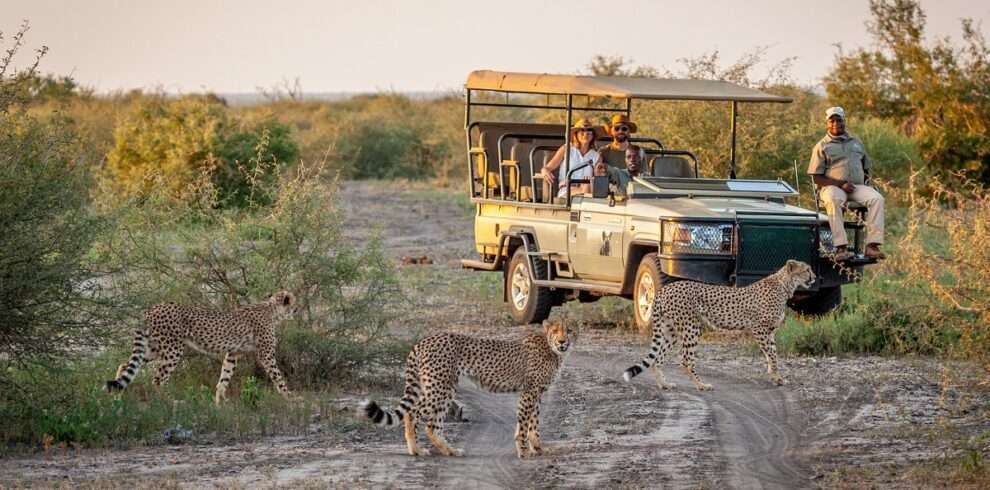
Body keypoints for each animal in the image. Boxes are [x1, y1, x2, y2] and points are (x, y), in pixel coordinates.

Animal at [108, 290, 296, 406]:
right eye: (294, 304)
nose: (296, 310)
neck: (271, 309)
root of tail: (153, 308)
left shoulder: (233, 353)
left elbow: (224, 377)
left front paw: (220, 403)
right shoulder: (266, 355)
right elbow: (278, 377)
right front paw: (291, 398)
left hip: (154, 348)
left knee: (125, 366)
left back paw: (117, 400)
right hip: (173, 349)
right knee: (157, 379)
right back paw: (173, 402)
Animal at [362, 320, 572, 458]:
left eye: (569, 330)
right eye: (556, 330)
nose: (562, 341)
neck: (552, 348)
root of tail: (424, 341)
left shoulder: (537, 392)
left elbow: (533, 423)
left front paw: (538, 448)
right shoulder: (529, 391)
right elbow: (524, 422)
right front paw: (524, 451)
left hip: (442, 387)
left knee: (432, 423)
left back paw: (448, 450)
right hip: (441, 387)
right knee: (414, 414)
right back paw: (417, 450)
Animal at [624, 260, 816, 390]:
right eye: (807, 270)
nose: (814, 277)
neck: (784, 285)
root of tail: (665, 289)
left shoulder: (769, 332)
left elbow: (772, 354)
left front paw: (775, 377)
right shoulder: (759, 329)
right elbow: (773, 355)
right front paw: (776, 377)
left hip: (670, 330)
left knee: (657, 359)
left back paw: (664, 384)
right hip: (691, 328)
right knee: (685, 360)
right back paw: (701, 385)